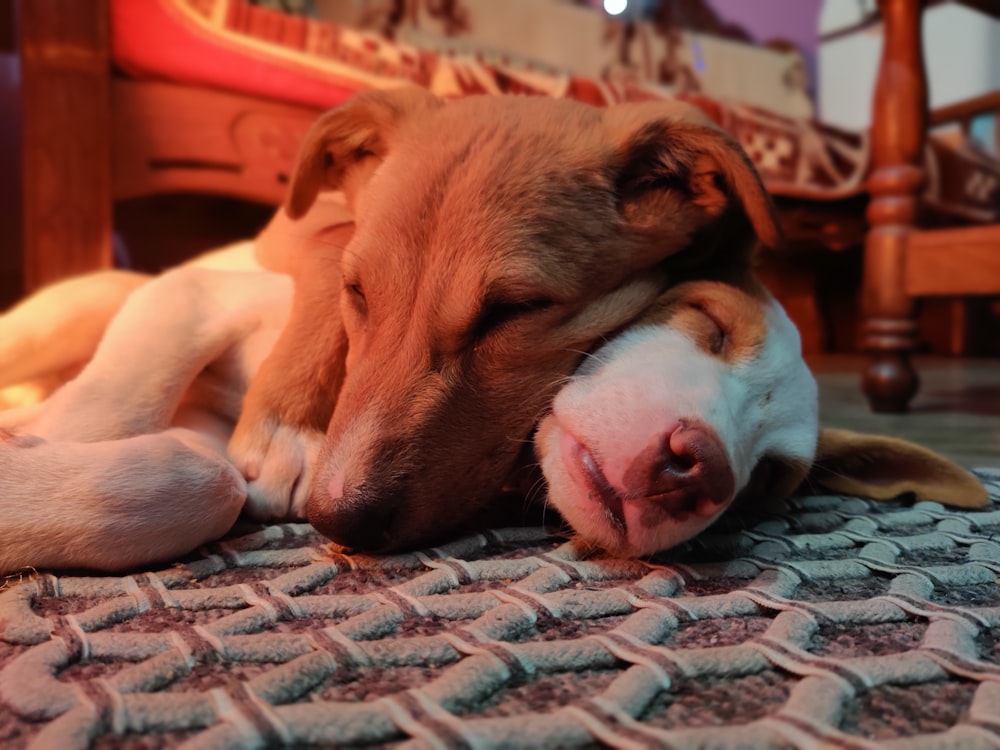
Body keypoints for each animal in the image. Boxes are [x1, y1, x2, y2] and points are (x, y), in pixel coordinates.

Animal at [230, 89, 784, 560]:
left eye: (515, 309)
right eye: (358, 292)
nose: (339, 521)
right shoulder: (298, 227)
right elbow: (331, 241)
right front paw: (283, 426)